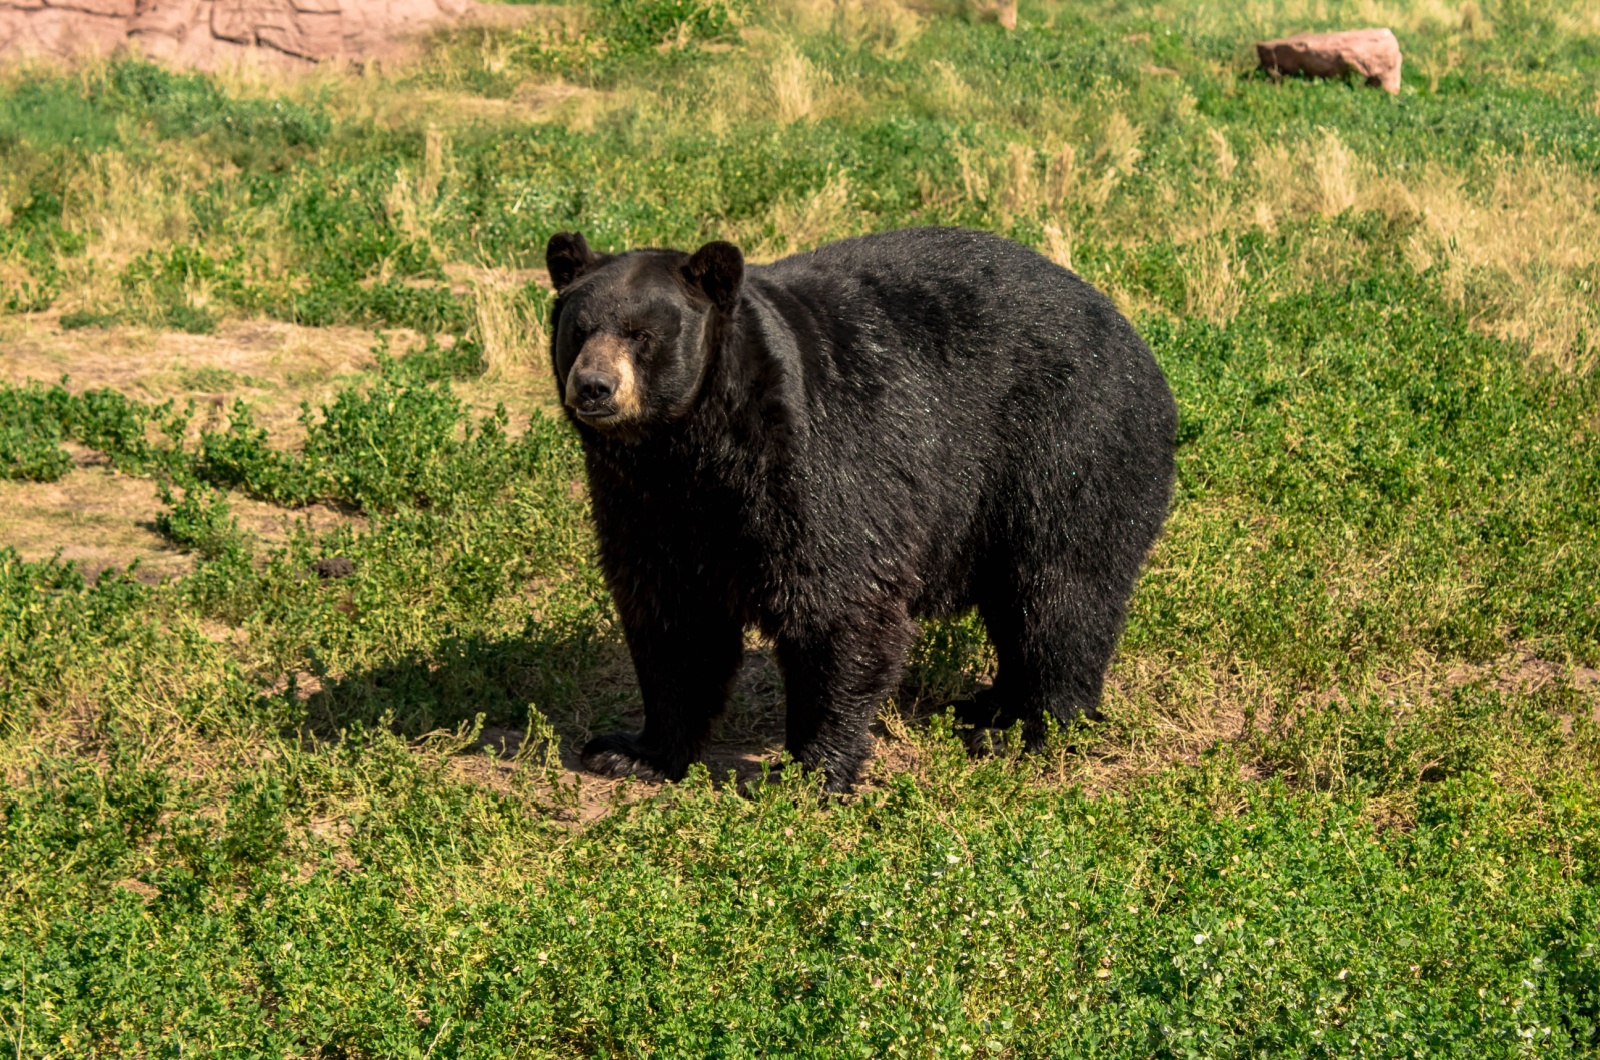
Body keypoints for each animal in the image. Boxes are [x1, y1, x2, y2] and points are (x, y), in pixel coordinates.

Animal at [547, 228, 1177, 794]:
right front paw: (632, 751)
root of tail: (1132, 333)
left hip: (1067, 443)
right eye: (577, 330)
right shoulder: (644, 501)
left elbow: (837, 602)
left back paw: (1029, 726)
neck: (693, 449)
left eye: (641, 334)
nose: (595, 386)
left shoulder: (815, 463)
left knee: (1061, 591)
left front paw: (807, 772)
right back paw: (988, 705)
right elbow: (673, 616)